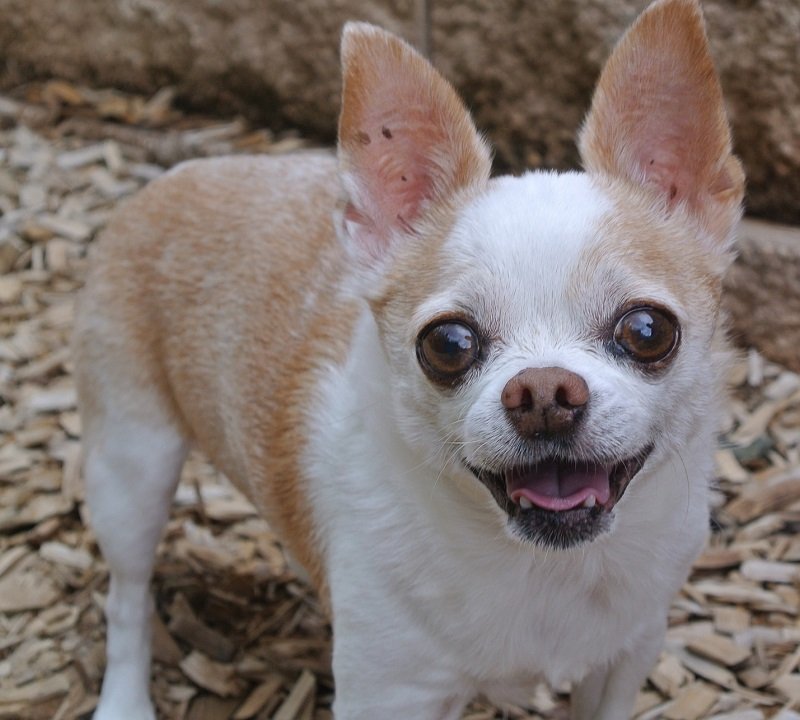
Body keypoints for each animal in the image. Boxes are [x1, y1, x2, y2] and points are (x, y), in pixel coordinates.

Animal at [75, 0, 744, 716]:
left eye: (648, 331)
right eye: (448, 345)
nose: (543, 393)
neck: (541, 566)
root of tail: (174, 174)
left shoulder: (624, 660)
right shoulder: (391, 692)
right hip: (131, 469)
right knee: (127, 597)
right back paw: (124, 699)